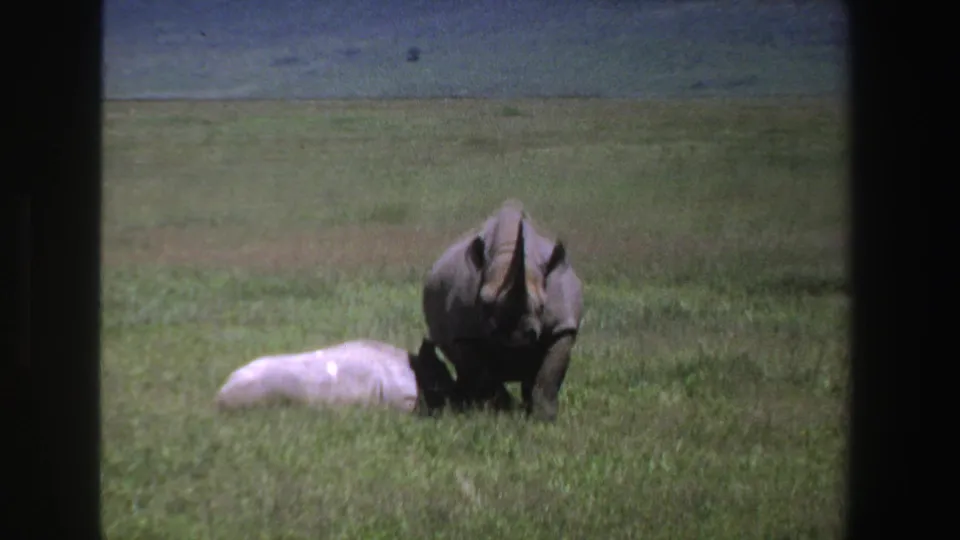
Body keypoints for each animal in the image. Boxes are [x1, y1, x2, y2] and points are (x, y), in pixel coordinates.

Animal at [422, 199, 584, 422]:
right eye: (484, 303)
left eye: (542, 307)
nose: (515, 338)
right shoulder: (464, 333)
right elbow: (482, 373)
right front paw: (501, 413)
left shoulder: (563, 325)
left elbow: (550, 374)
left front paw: (544, 419)